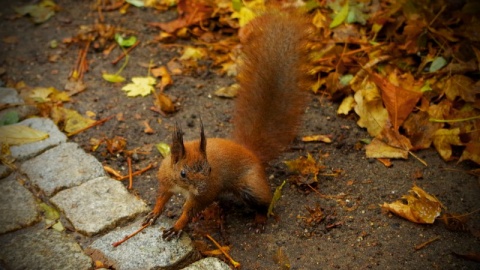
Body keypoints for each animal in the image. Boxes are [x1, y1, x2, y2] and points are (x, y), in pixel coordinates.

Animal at [143, 11, 312, 240]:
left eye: (210, 169)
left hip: (252, 186)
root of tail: (250, 152)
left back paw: (259, 219)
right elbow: (162, 198)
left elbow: (189, 212)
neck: (183, 188)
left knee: (265, 203)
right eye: (183, 173)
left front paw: (177, 227)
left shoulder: (203, 196)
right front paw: (154, 212)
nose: (202, 188)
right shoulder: (166, 182)